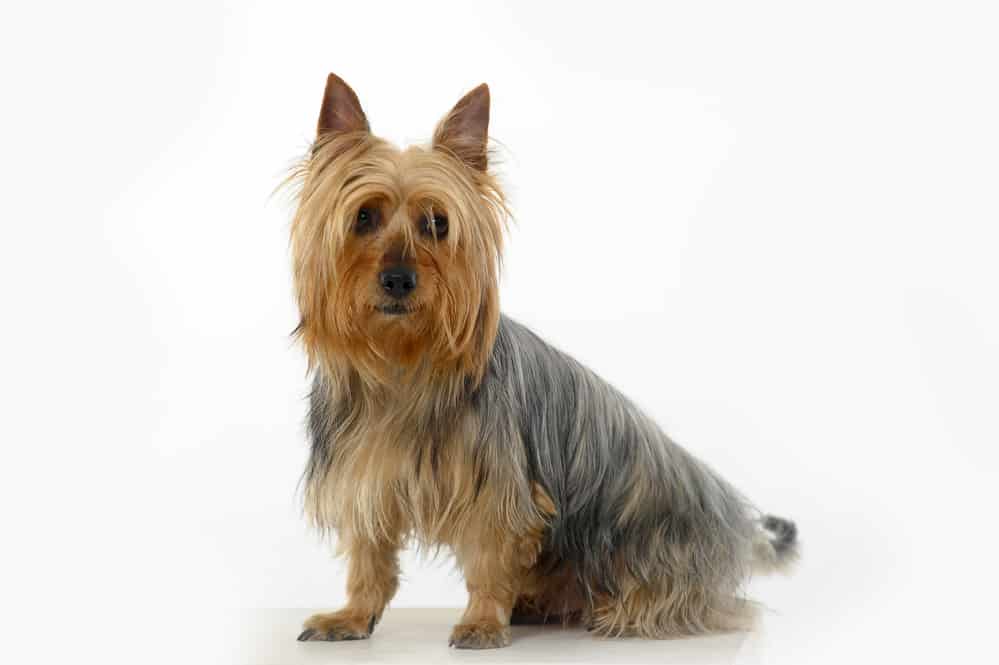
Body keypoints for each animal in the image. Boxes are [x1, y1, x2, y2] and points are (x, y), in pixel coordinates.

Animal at [288, 72, 796, 648]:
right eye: (363, 217)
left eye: (437, 223)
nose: (398, 279)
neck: (403, 362)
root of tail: (735, 522)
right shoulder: (364, 475)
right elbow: (368, 557)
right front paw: (352, 617)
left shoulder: (499, 489)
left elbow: (491, 557)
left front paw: (483, 621)